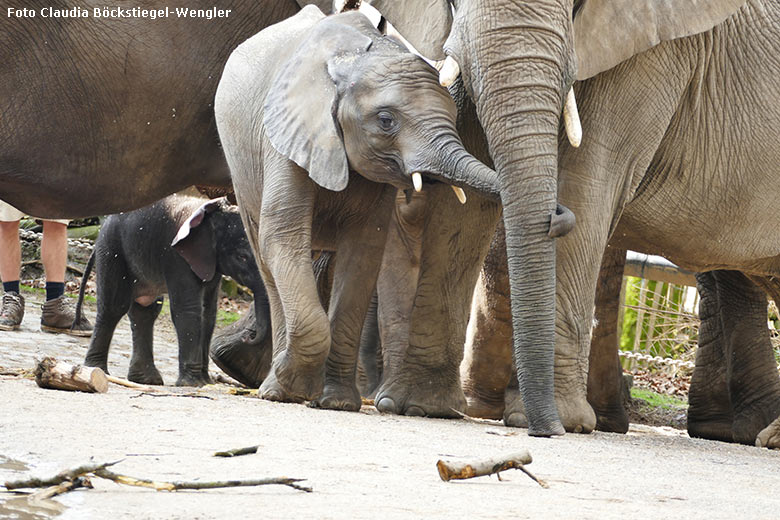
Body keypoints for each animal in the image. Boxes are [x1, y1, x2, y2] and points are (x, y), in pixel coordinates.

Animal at [77, 195, 266, 386]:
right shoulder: (176, 257)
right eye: (242, 257)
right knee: (114, 307)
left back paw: (147, 380)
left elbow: (208, 313)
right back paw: (98, 370)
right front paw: (193, 384)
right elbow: (188, 310)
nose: (248, 336)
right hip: (111, 250)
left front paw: (206, 382)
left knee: (146, 311)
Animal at [368, 0, 760, 434]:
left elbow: (586, 180)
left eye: (576, 5)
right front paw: (419, 407)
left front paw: (560, 420)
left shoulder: (658, 51)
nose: (547, 429)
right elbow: (463, 185)